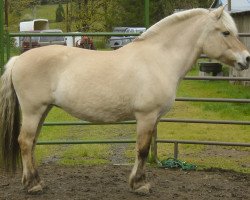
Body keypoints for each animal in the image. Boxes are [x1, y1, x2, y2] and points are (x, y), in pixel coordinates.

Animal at [0, 6, 250, 194]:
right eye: (226, 32)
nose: (246, 59)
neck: (159, 59)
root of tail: (18, 59)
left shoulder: (154, 118)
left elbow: (143, 150)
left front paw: (139, 181)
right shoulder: (146, 116)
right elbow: (142, 149)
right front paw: (139, 185)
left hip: (43, 110)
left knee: (31, 142)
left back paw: (34, 181)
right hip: (34, 110)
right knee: (25, 142)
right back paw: (33, 186)